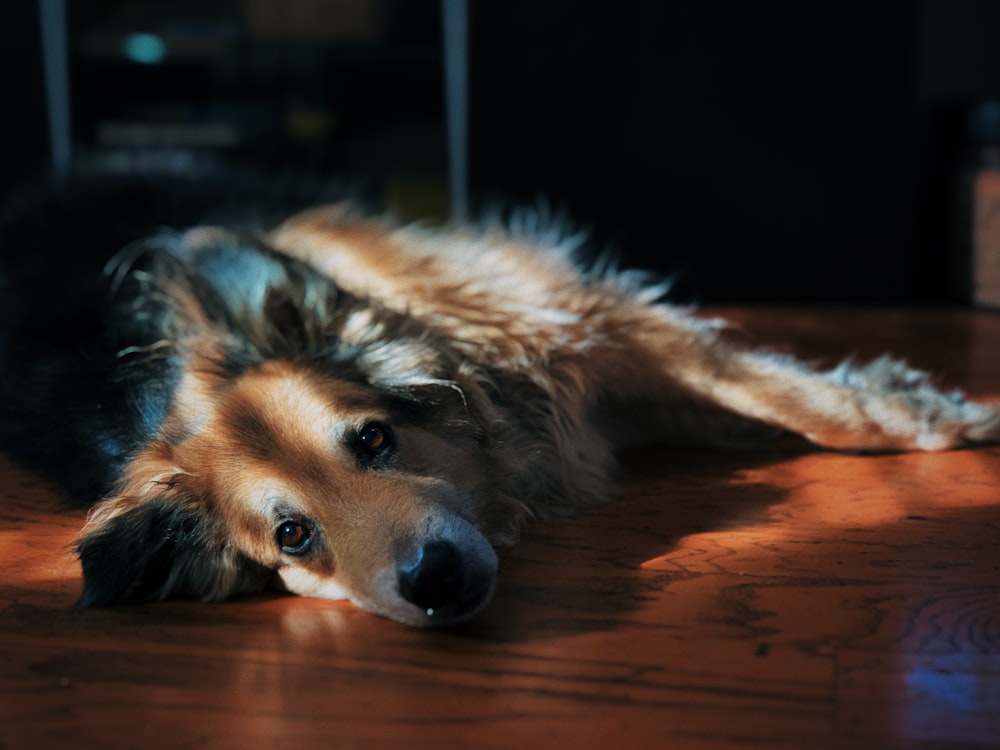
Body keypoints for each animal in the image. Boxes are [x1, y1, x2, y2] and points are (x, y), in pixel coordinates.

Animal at [1, 176, 1000, 628]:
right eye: (292, 535)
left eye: (375, 439)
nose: (436, 580)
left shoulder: (575, 320)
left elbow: (806, 404)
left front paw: (934, 412)